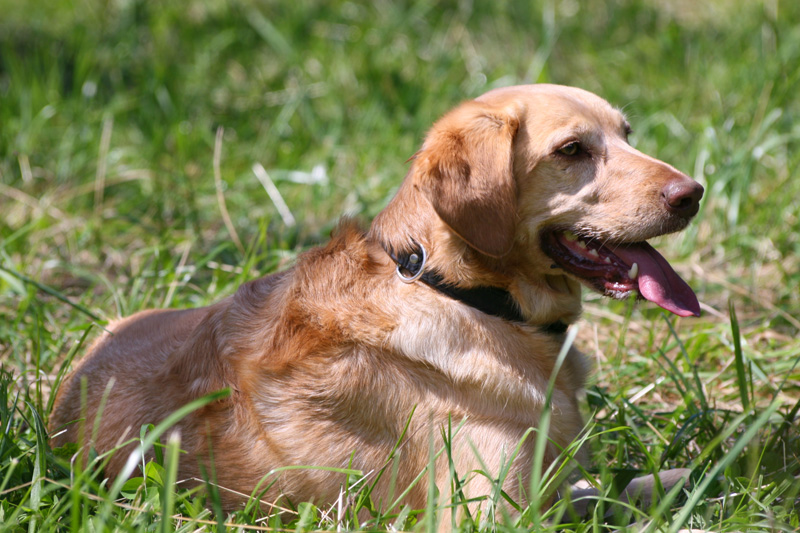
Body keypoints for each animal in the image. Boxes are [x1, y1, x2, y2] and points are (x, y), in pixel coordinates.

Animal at [50, 84, 700, 520]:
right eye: (571, 150)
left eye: (626, 135)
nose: (693, 193)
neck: (463, 293)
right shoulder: (487, 510)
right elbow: (599, 506)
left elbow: (615, 488)